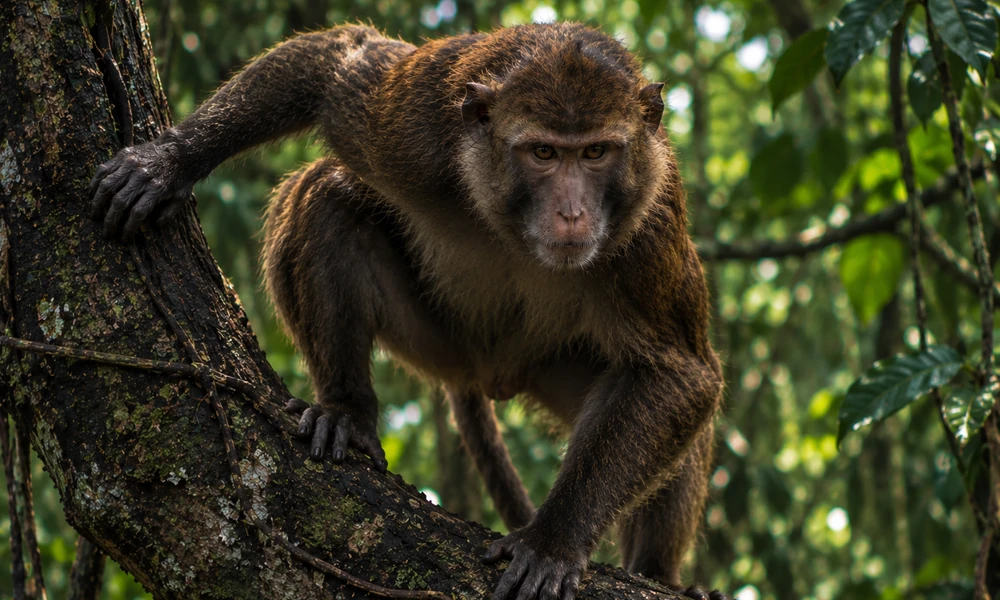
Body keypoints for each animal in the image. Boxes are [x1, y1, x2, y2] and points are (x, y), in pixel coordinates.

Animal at [90, 23, 728, 600]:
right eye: (544, 153)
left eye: (596, 152)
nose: (571, 213)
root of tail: (489, 374)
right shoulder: (416, 129)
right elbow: (344, 62)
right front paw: (170, 160)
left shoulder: (646, 229)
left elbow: (678, 373)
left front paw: (554, 538)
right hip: (437, 343)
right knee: (330, 192)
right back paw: (346, 409)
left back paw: (659, 574)